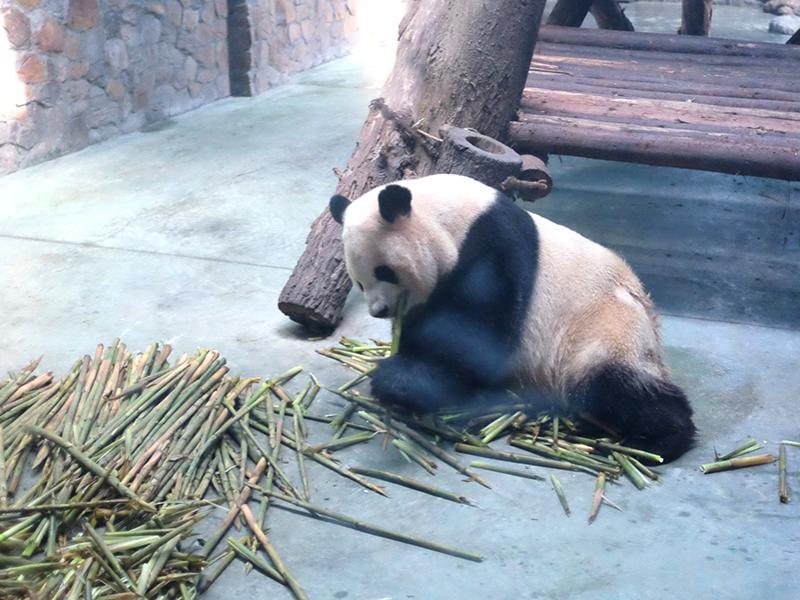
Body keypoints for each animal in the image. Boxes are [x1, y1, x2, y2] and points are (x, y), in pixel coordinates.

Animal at [329, 173, 696, 462]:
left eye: (385, 271)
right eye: (358, 282)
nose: (379, 311)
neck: (451, 216)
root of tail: (649, 316)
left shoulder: (493, 246)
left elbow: (476, 334)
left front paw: (398, 381)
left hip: (604, 326)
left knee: (612, 385)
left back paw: (661, 441)